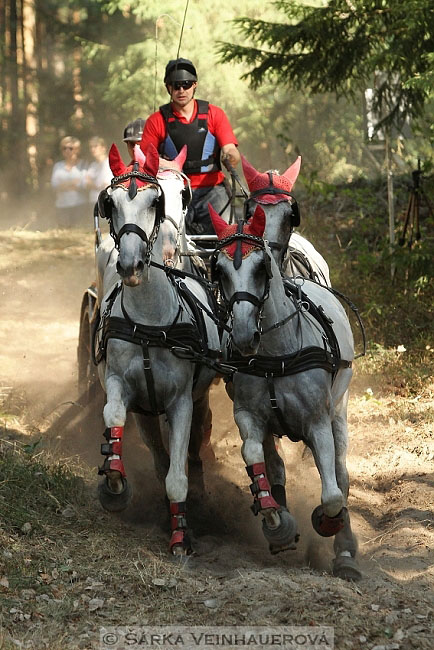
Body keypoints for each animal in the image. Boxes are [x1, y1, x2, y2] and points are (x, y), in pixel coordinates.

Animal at [93, 143, 219, 552]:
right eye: (110, 203)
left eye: (155, 201)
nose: (130, 265)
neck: (150, 323)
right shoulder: (121, 385)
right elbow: (114, 416)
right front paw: (114, 482)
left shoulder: (180, 402)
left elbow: (177, 474)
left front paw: (181, 535)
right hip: (147, 412)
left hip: (196, 397)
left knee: (194, 443)